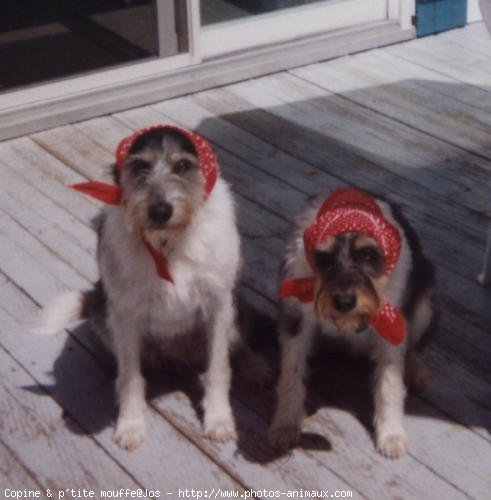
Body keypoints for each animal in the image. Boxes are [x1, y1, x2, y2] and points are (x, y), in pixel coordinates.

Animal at [36, 125, 242, 450]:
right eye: (140, 166)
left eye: (182, 166)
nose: (160, 211)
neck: (167, 244)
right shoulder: (125, 315)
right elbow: (131, 377)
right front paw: (131, 424)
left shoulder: (219, 305)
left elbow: (218, 367)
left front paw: (219, 420)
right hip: (104, 315)